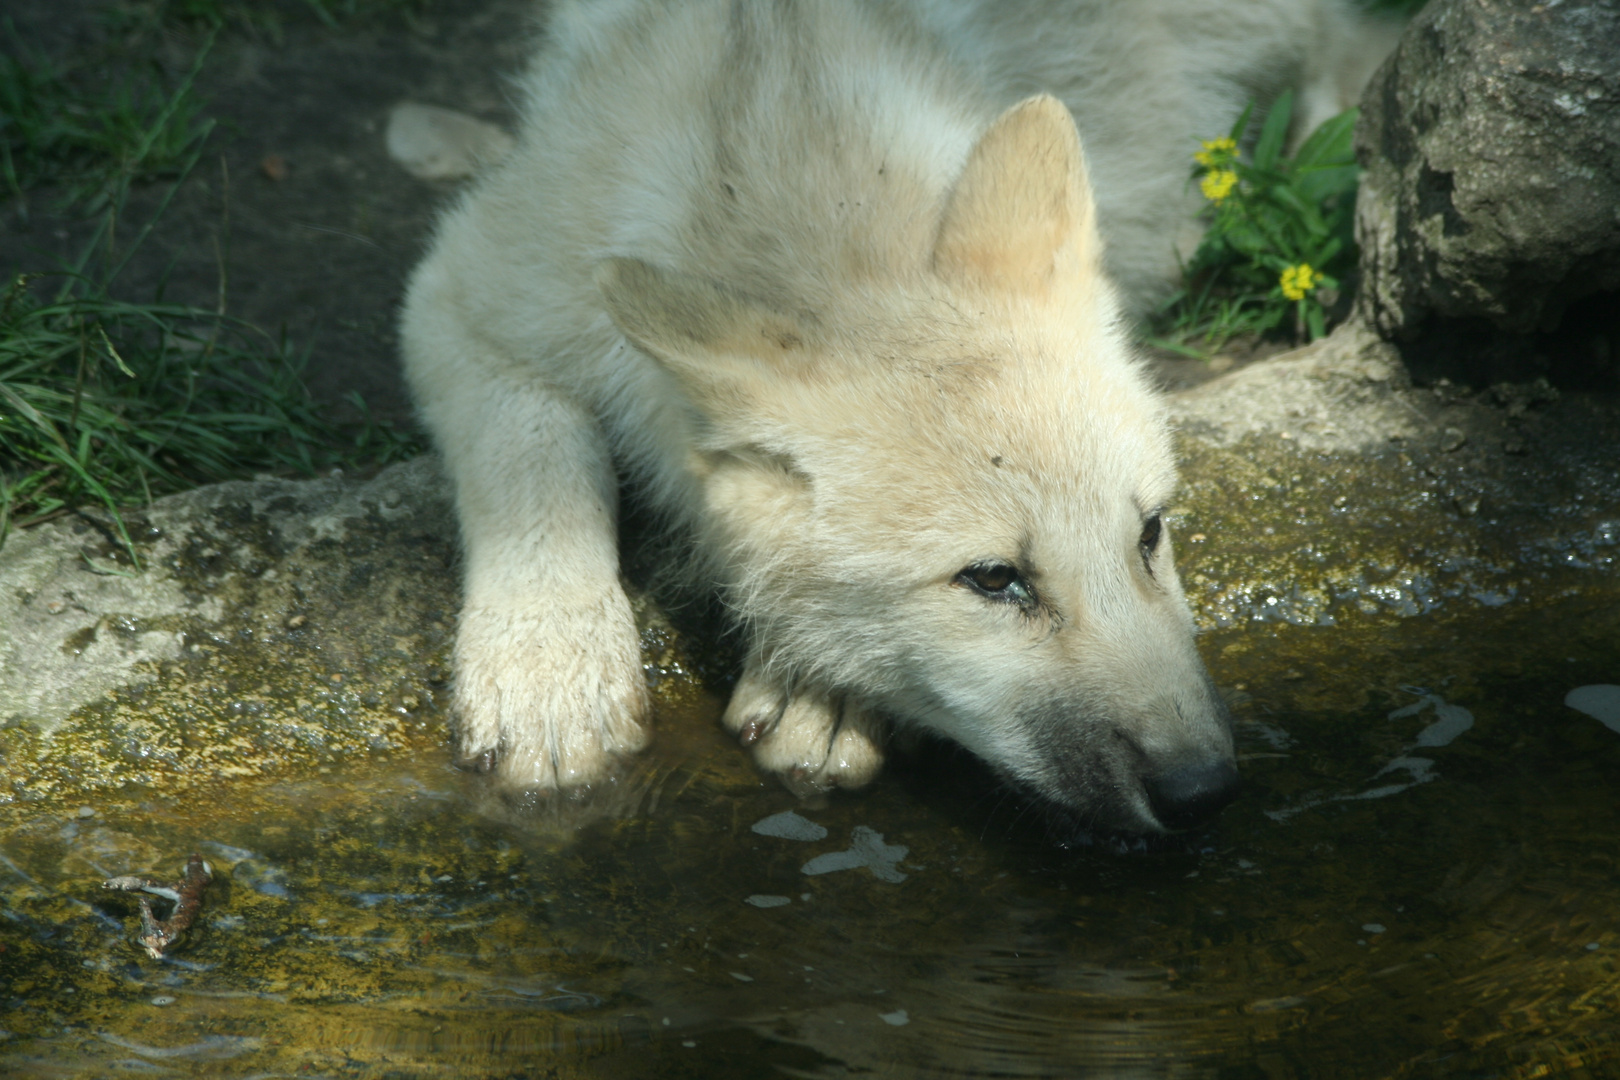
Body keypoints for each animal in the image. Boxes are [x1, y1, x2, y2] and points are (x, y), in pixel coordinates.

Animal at [401, 0, 1393, 835]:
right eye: (992, 580)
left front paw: (825, 687)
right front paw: (546, 673)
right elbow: (534, 474)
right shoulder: (462, 289)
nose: (1203, 791)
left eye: (1149, 534)